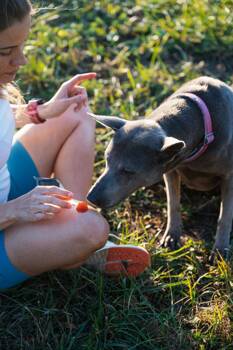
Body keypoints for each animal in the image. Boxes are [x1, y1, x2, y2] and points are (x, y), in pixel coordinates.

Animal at [86, 76, 233, 258]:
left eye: (128, 171)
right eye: (106, 160)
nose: (91, 198)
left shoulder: (229, 177)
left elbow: (225, 214)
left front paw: (220, 249)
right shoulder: (170, 170)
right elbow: (173, 202)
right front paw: (172, 236)